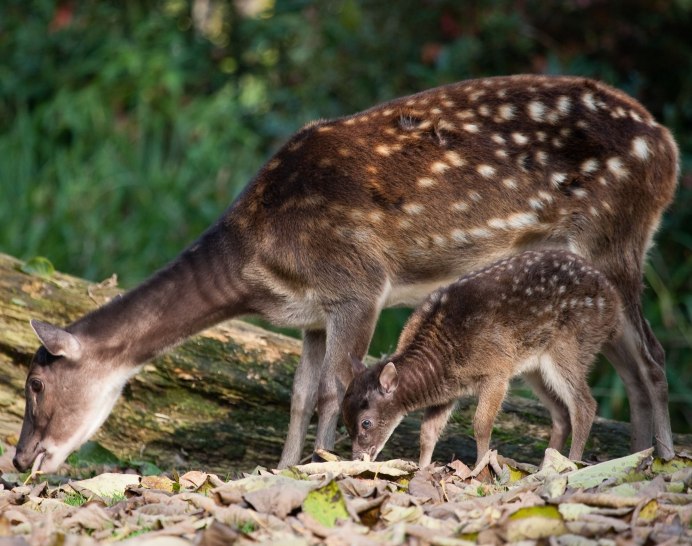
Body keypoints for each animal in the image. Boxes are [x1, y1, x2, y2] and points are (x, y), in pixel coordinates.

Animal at [344, 249, 620, 466]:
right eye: (344, 421)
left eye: (366, 423)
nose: (357, 458)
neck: (441, 359)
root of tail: (615, 303)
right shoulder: (449, 391)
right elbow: (428, 432)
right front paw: (422, 469)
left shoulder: (497, 372)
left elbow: (481, 424)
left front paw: (480, 469)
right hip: (535, 368)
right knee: (562, 413)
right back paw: (546, 465)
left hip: (571, 345)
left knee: (585, 405)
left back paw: (572, 464)